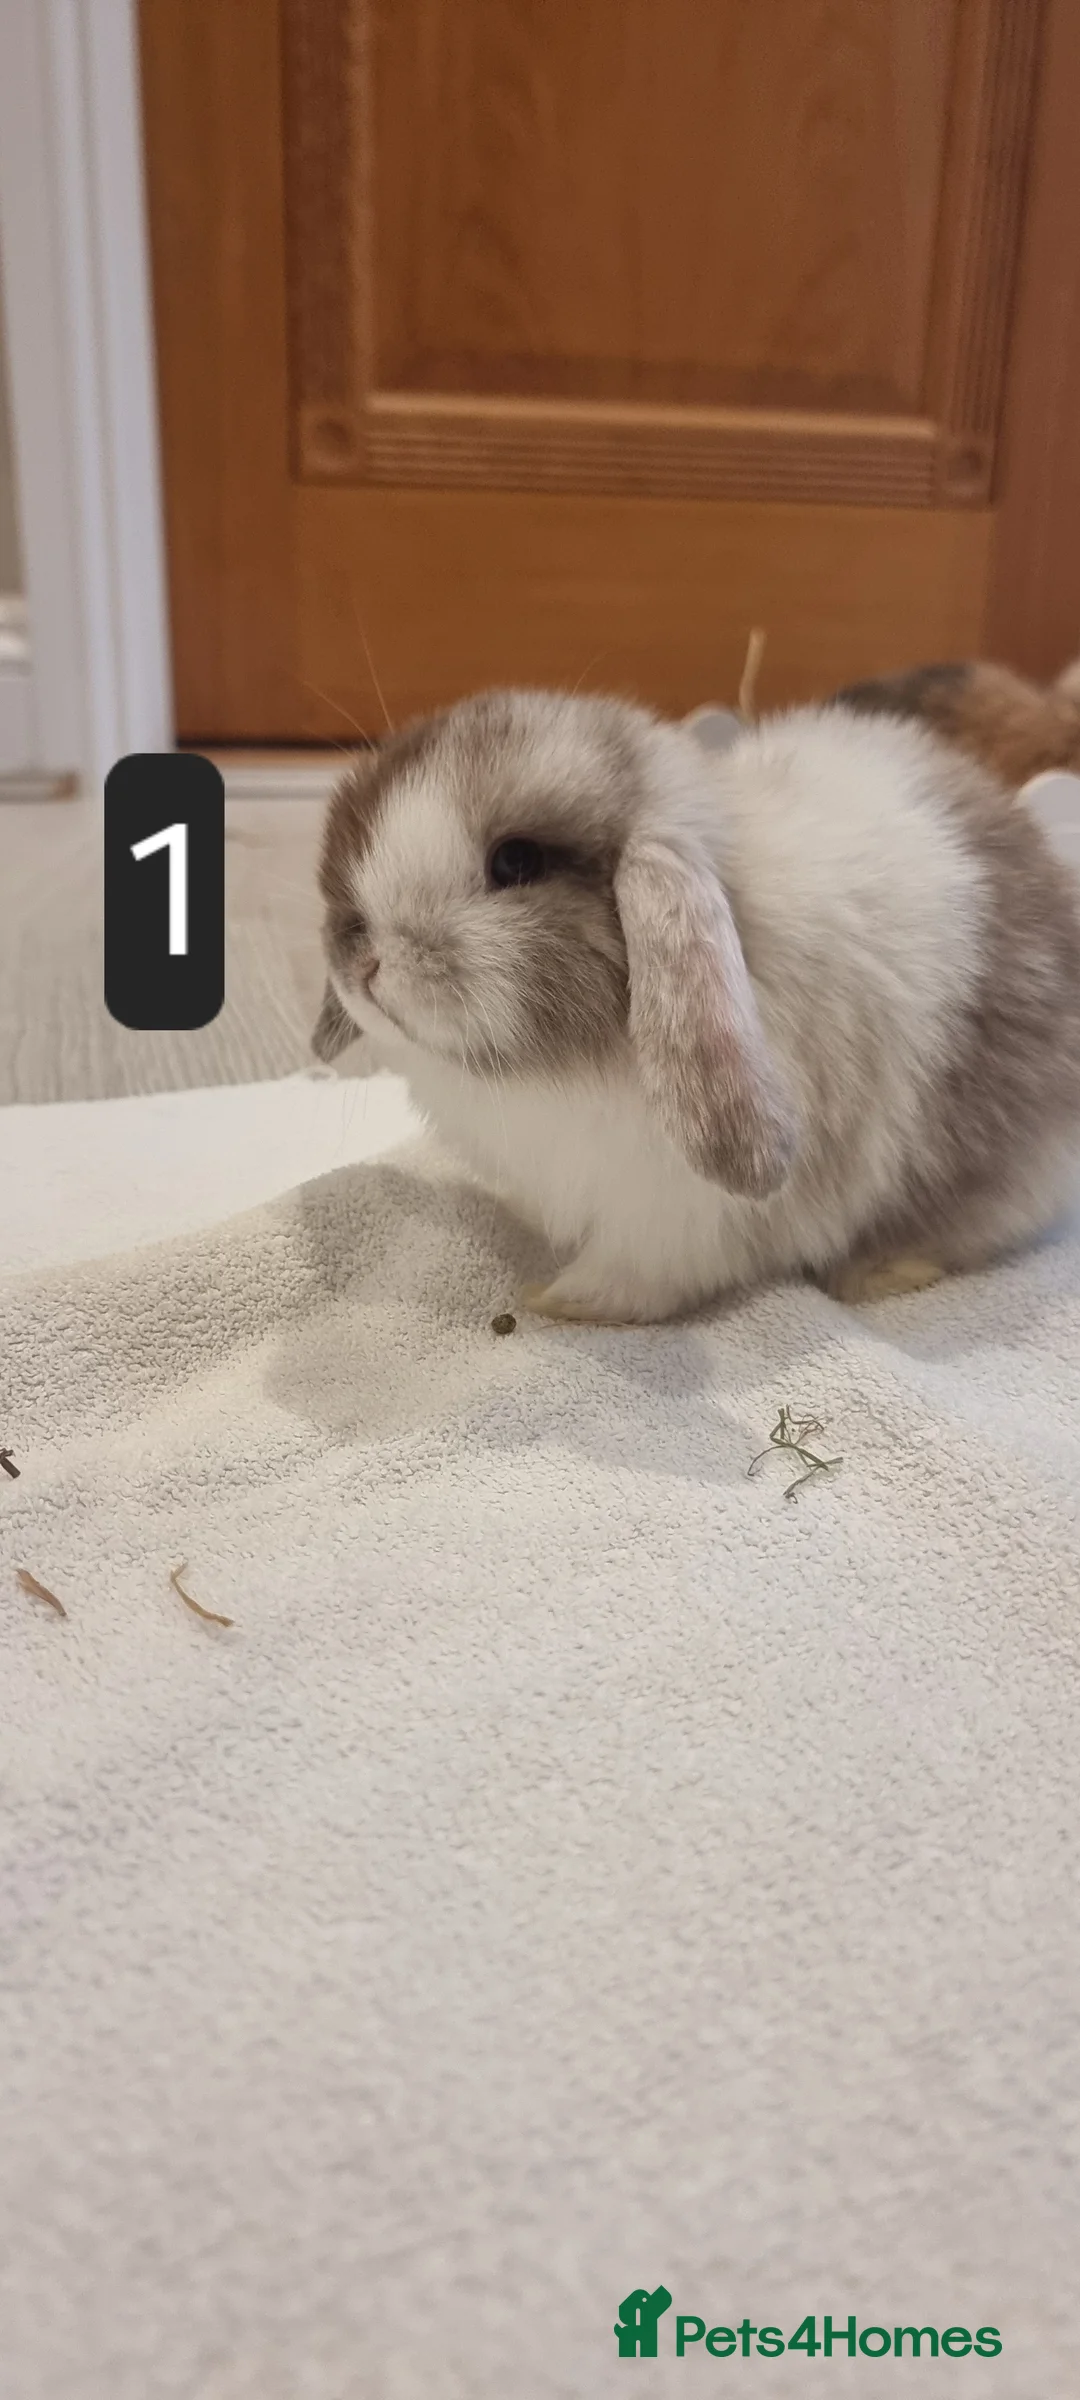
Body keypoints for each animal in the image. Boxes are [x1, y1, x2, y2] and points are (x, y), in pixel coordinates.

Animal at [312, 688, 1080, 1325]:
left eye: (516, 862)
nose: (360, 957)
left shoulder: (672, 1222)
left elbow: (633, 1280)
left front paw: (557, 1299)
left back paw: (879, 1272)